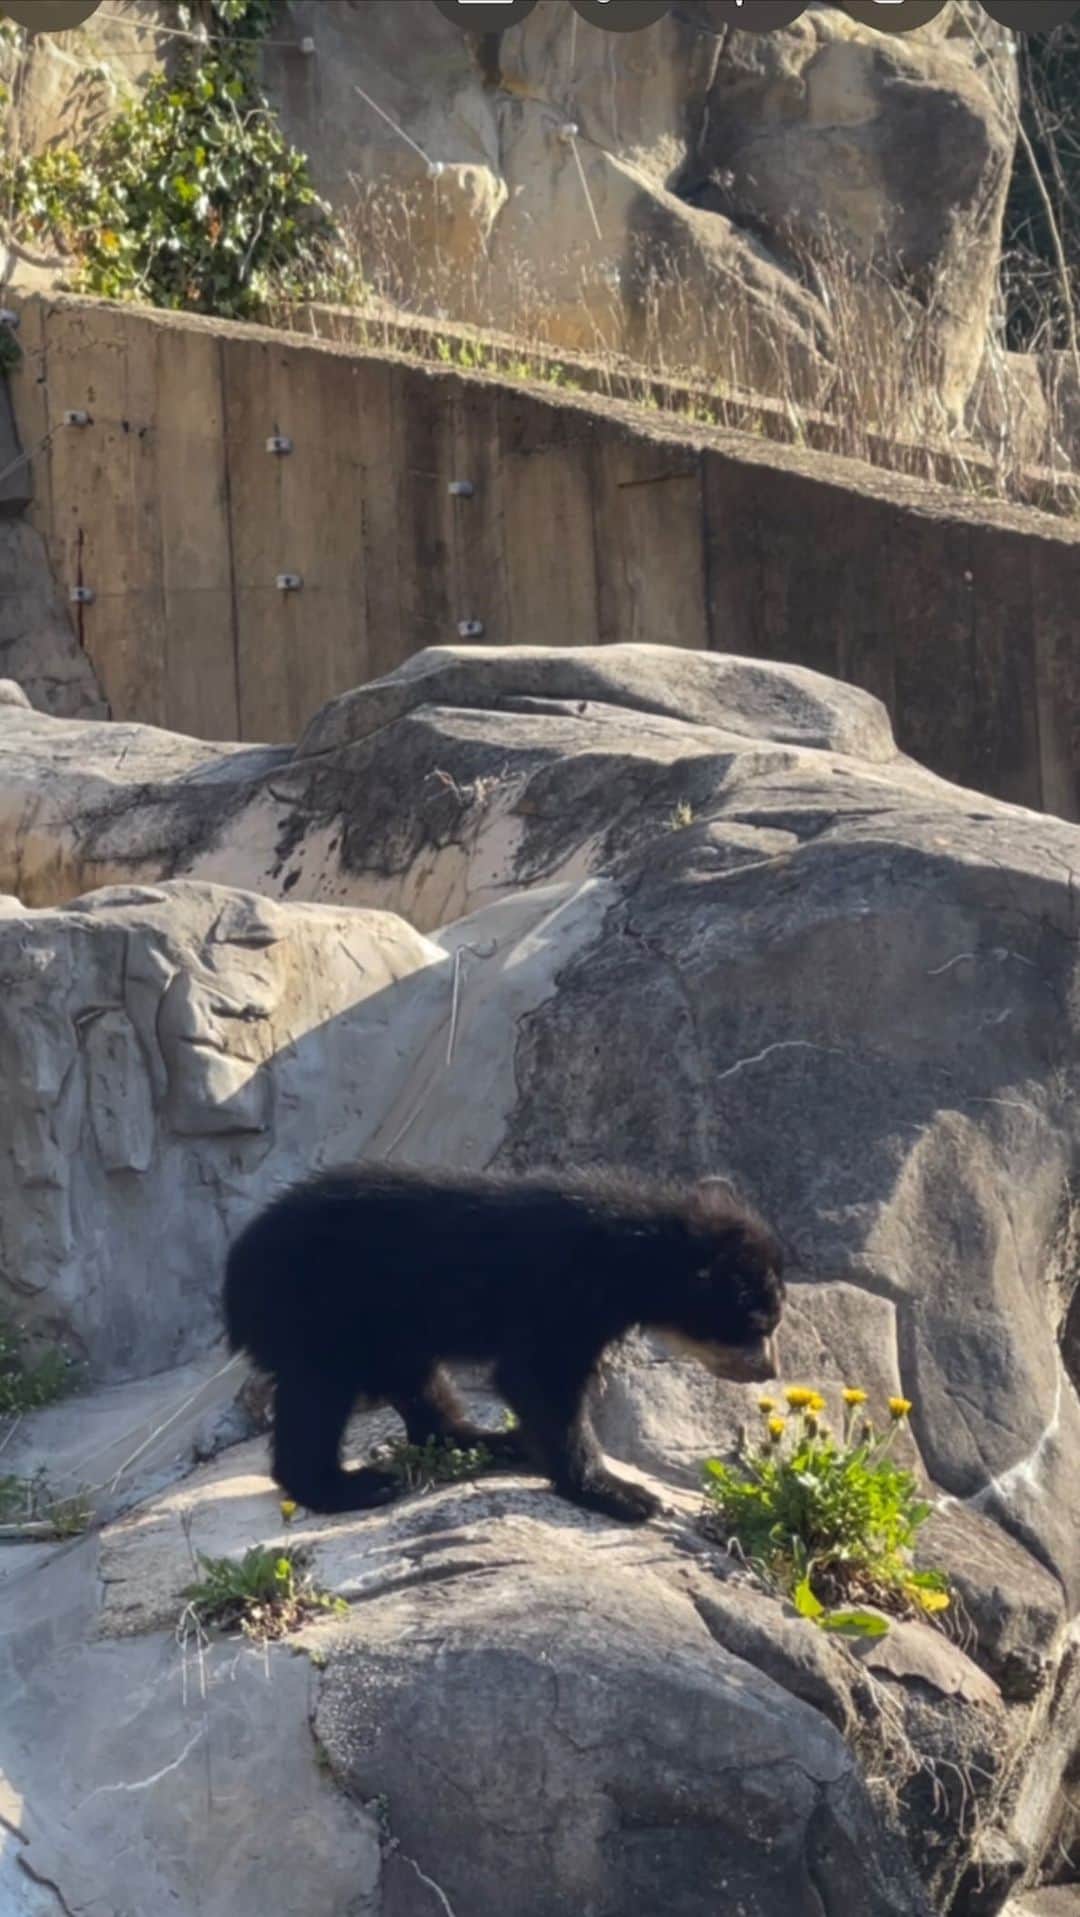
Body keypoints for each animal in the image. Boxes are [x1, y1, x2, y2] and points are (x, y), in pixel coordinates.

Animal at [223, 1160, 785, 1525]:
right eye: (758, 1326)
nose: (769, 1371)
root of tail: (234, 1276)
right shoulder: (560, 1295)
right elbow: (540, 1382)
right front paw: (626, 1495)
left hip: (388, 1324)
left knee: (418, 1383)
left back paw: (490, 1440)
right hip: (317, 1309)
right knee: (319, 1394)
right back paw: (353, 1485)